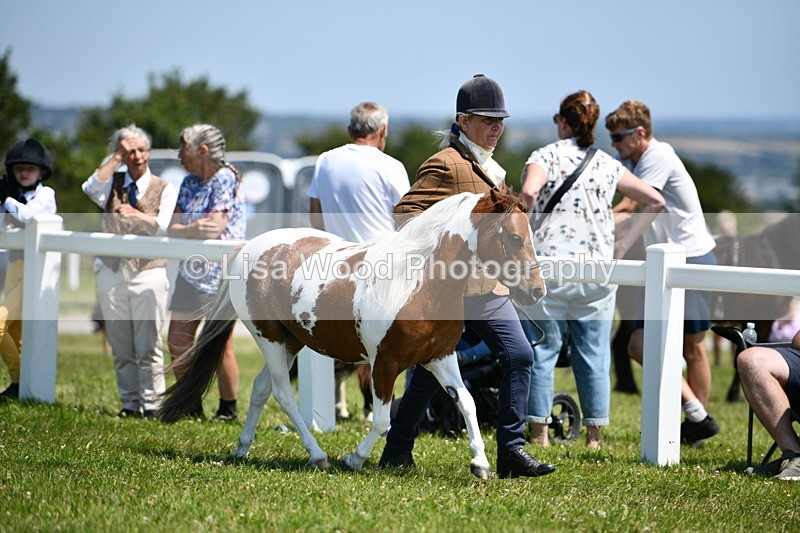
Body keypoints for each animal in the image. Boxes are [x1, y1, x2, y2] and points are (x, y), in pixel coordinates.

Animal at [159, 188, 546, 479]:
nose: (536, 291)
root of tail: (250, 248)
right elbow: (383, 419)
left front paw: (480, 464)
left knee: (260, 389)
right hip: (267, 337)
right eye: (514, 237)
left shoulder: (441, 357)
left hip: (290, 341)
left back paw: (242, 448)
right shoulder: (384, 364)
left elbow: (466, 402)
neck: (417, 283)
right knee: (282, 393)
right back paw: (317, 455)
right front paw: (355, 459)